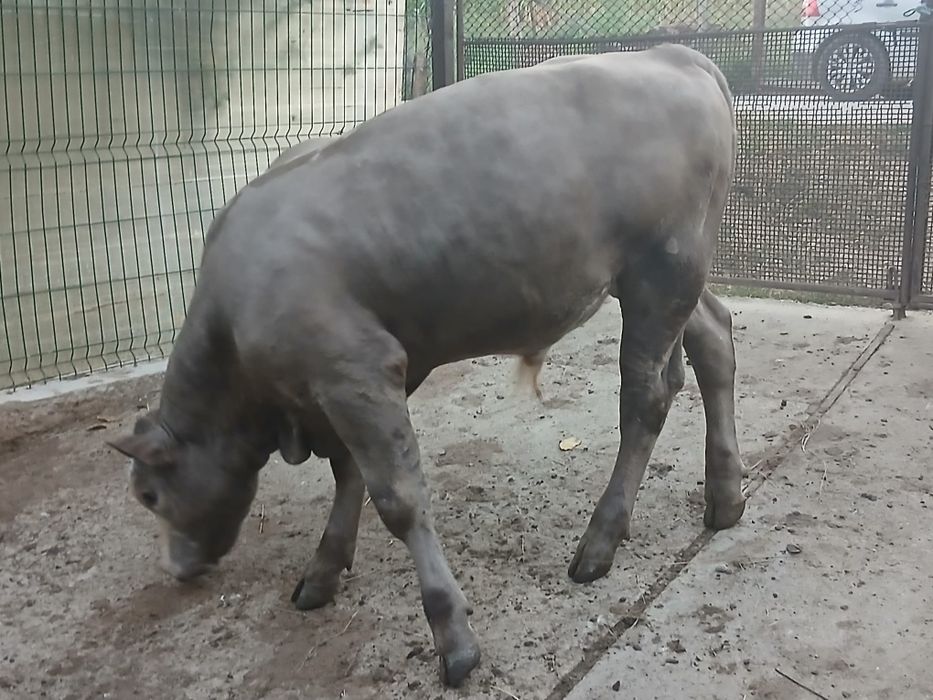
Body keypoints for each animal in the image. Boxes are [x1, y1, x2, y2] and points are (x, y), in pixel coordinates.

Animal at [108, 44, 746, 688]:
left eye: (149, 496)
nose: (178, 567)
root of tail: (671, 53)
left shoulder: (355, 371)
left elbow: (398, 499)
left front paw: (452, 635)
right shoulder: (349, 383)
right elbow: (350, 474)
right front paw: (325, 567)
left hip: (661, 273)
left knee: (645, 401)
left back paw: (601, 541)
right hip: (674, 284)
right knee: (714, 342)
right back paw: (725, 495)